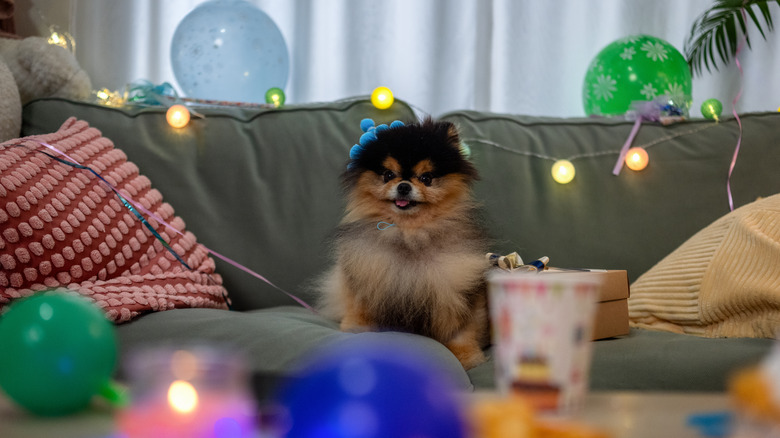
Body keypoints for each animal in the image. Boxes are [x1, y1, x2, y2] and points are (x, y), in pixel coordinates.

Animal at [316, 117, 488, 370]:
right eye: (388, 174)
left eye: (426, 178)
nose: (404, 185)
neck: (409, 234)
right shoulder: (366, 277)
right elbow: (359, 308)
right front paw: (356, 329)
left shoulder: (458, 290)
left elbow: (462, 329)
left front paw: (467, 356)